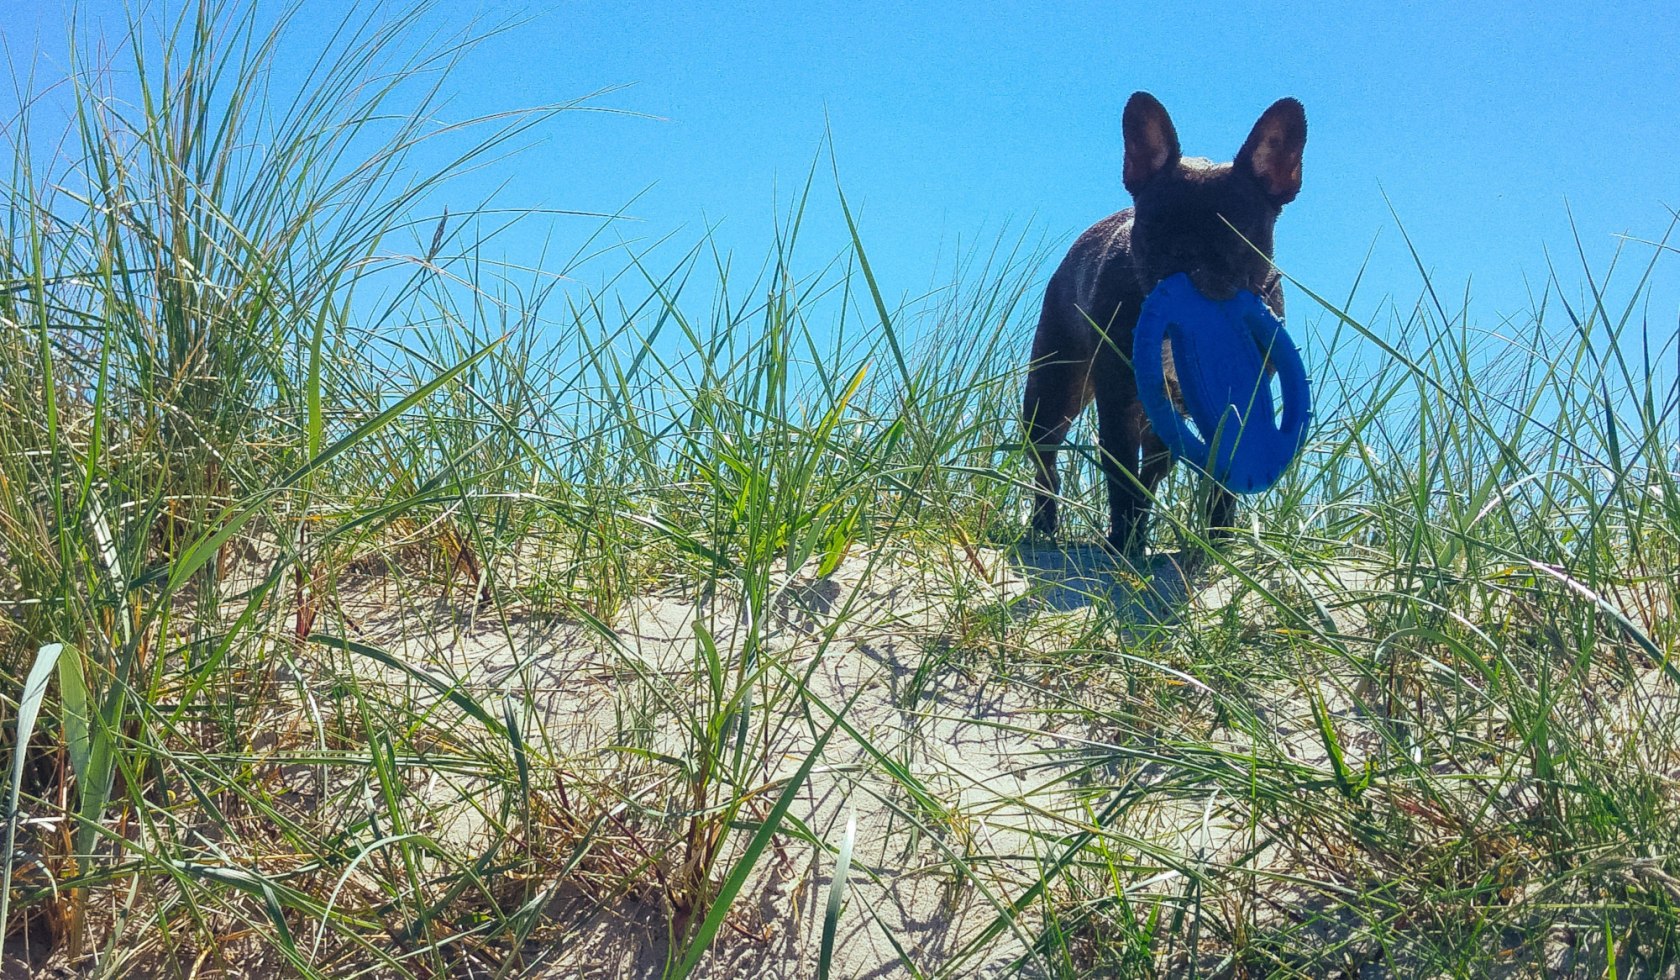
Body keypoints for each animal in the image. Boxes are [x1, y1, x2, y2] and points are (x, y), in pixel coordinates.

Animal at [1014, 92, 1303, 554]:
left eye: (1236, 232)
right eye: (1153, 225)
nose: (1188, 256)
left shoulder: (1237, 403)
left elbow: (1223, 480)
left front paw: (1219, 541)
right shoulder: (1117, 401)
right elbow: (1120, 474)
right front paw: (1122, 540)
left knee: (1153, 471)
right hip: (1053, 390)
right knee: (1047, 462)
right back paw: (1046, 525)